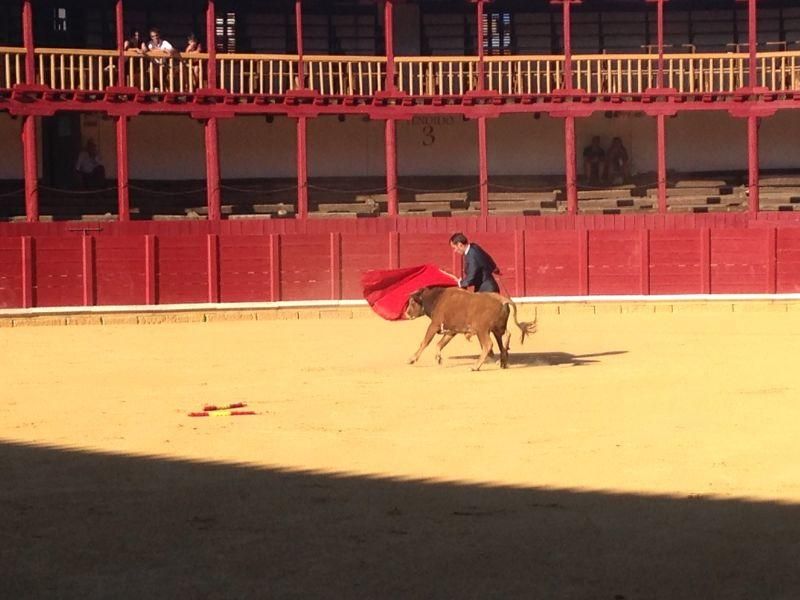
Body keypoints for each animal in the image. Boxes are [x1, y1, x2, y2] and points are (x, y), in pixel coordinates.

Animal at [406, 286, 536, 370]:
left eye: (412, 302)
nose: (406, 314)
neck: (436, 299)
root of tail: (502, 300)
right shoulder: (451, 331)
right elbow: (440, 344)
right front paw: (438, 358)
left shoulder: (434, 325)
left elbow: (425, 342)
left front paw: (412, 359)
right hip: (497, 329)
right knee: (504, 340)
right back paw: (502, 362)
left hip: (482, 330)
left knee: (488, 344)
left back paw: (476, 366)